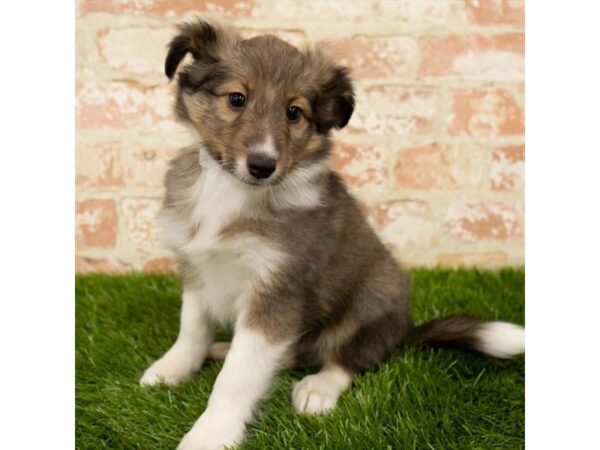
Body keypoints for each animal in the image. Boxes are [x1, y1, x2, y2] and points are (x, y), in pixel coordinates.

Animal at [141, 19, 524, 450]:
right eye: (236, 98)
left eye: (294, 112)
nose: (263, 165)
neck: (232, 190)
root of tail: (403, 331)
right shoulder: (196, 266)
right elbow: (192, 329)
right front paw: (171, 368)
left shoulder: (277, 291)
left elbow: (238, 376)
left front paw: (211, 433)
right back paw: (224, 348)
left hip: (372, 298)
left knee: (347, 360)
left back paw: (317, 388)